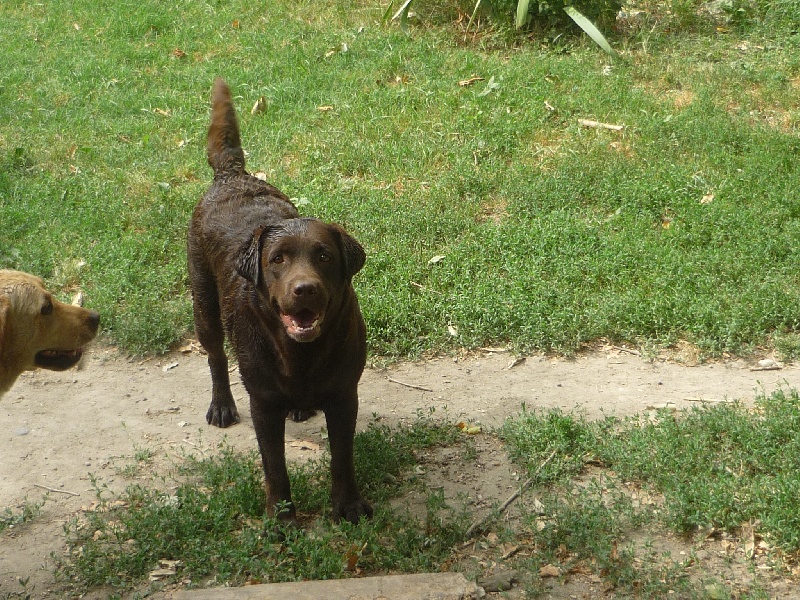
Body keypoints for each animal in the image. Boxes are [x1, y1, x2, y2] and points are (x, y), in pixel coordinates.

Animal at [189, 78, 374, 524]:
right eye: (278, 260)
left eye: (323, 256)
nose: (304, 288)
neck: (300, 355)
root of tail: (231, 174)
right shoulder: (264, 404)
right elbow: (274, 465)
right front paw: (281, 519)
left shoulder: (345, 396)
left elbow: (342, 457)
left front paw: (347, 505)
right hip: (204, 305)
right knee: (215, 356)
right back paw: (222, 405)